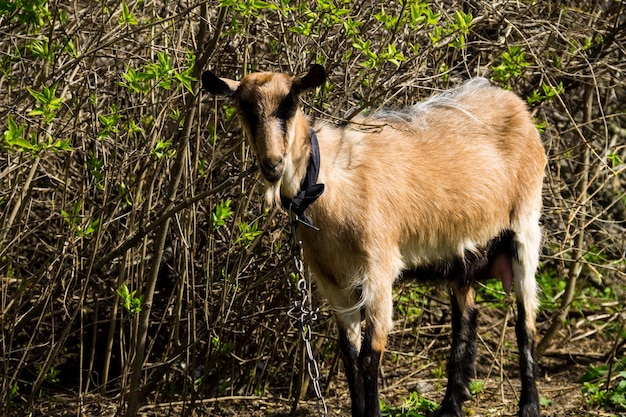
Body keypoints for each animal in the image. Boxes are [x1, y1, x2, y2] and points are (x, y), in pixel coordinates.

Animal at [202, 65, 544, 416]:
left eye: (290, 104)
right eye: (244, 108)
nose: (272, 164)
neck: (328, 182)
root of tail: (514, 104)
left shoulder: (378, 270)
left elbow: (370, 355)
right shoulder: (333, 281)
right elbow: (349, 355)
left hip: (526, 223)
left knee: (525, 321)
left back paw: (528, 405)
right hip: (461, 250)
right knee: (467, 317)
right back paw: (450, 405)